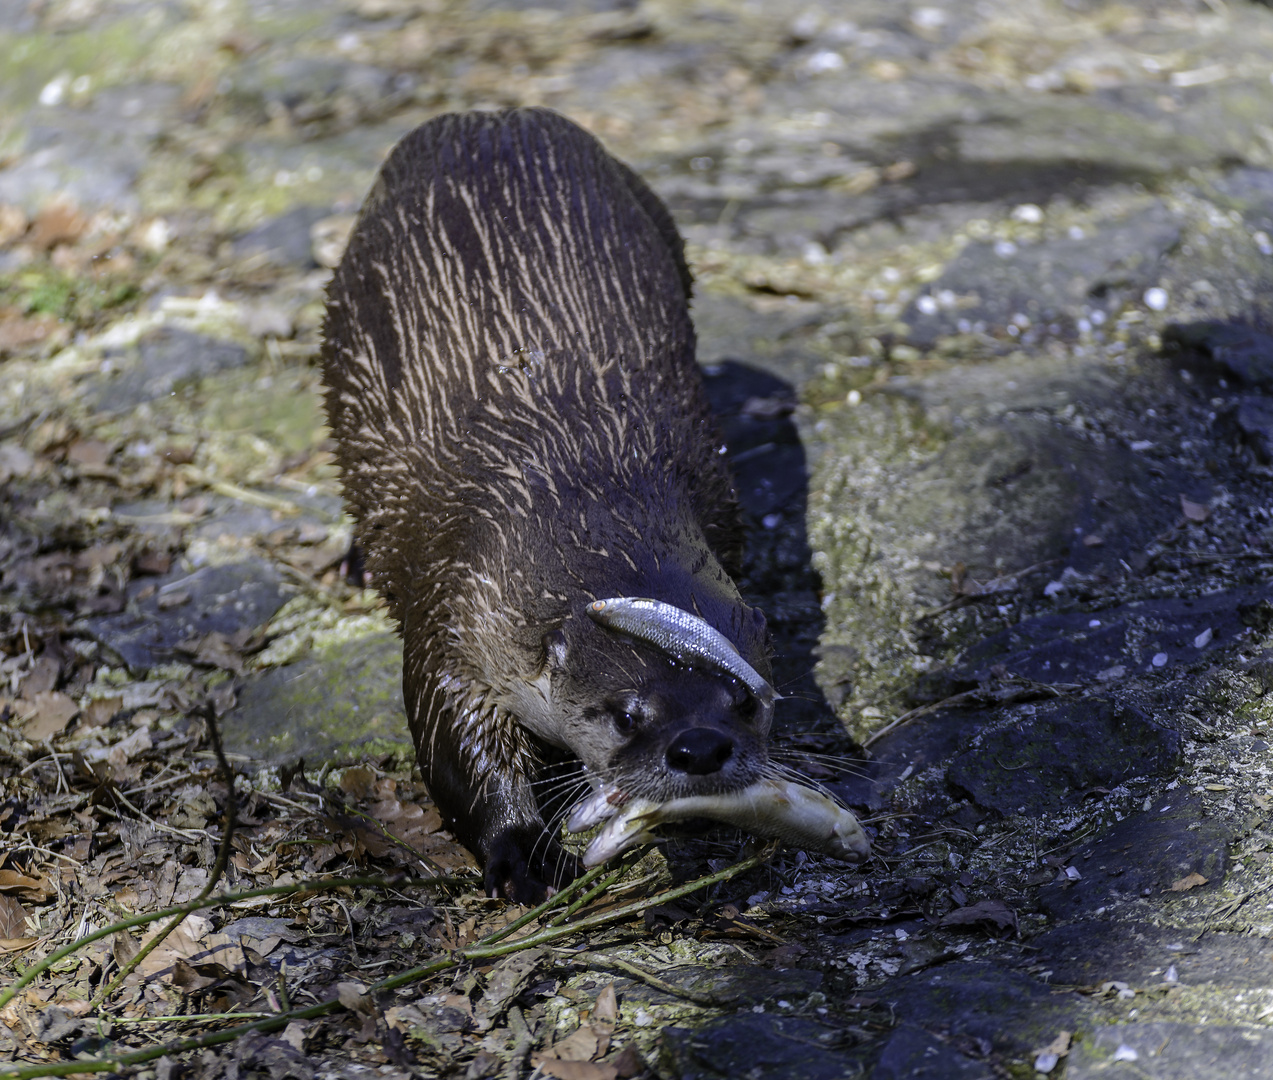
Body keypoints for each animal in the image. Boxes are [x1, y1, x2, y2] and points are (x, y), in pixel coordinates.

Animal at [323, 109, 768, 901]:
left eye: (744, 700)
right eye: (626, 713)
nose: (701, 747)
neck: (579, 483)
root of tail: (486, 115)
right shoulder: (453, 607)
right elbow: (452, 739)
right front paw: (521, 851)